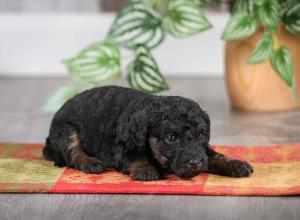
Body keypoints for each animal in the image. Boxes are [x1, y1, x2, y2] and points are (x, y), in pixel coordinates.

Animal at [42, 85, 253, 180]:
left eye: (202, 135)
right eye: (171, 138)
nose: (195, 163)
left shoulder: (203, 149)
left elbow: (213, 155)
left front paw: (234, 163)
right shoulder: (122, 149)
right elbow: (137, 157)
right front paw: (146, 169)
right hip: (67, 129)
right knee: (73, 152)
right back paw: (90, 163)